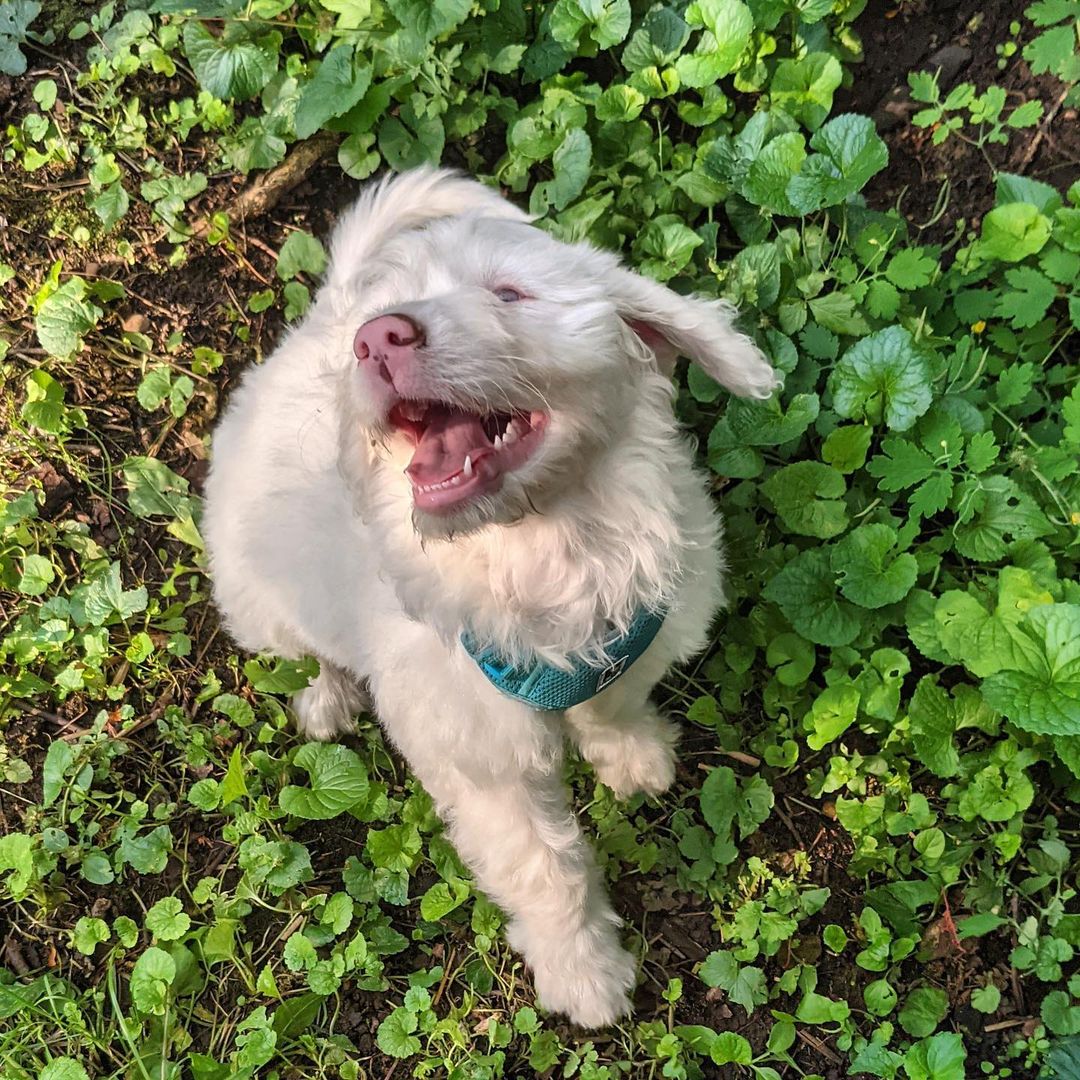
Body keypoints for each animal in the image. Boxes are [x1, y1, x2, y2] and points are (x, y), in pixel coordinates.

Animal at [200, 170, 777, 1028]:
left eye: (510, 293)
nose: (378, 337)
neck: (542, 543)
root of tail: (326, 317)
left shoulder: (641, 629)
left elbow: (616, 704)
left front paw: (632, 756)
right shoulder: (484, 763)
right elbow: (546, 870)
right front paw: (584, 973)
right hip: (259, 597)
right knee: (303, 653)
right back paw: (326, 697)